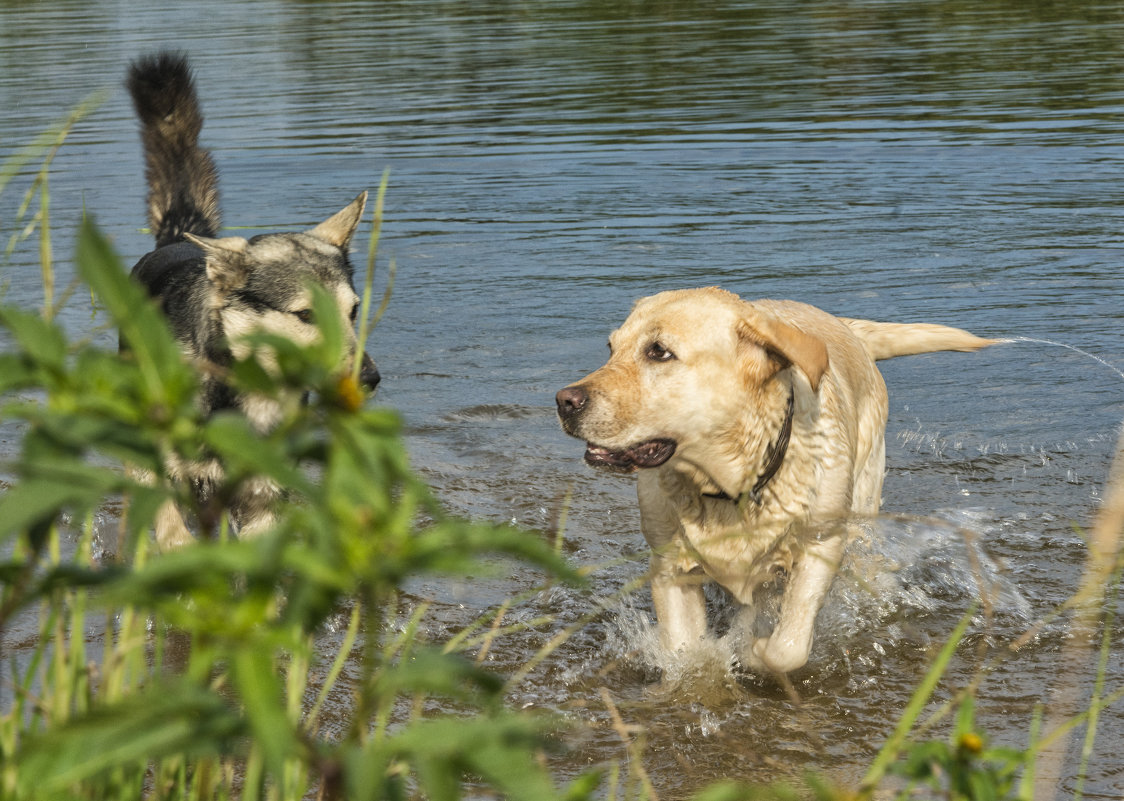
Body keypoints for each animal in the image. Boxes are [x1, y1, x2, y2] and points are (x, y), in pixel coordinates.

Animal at [126, 53, 382, 545]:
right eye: (305, 314)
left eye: (354, 311)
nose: (370, 379)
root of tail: (179, 238)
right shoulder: (168, 479)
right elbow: (175, 538)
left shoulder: (261, 496)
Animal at [557, 287, 998, 674]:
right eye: (611, 348)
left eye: (659, 352)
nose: (564, 401)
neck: (731, 485)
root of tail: (847, 327)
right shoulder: (668, 563)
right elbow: (685, 650)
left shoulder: (821, 544)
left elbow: (786, 648)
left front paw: (752, 650)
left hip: (863, 501)